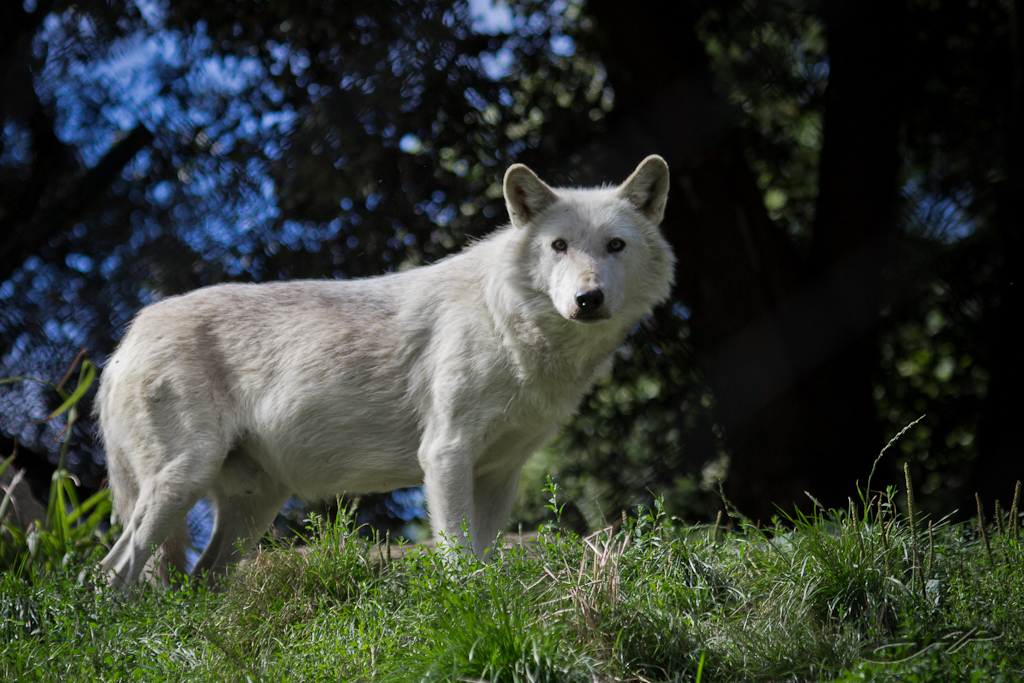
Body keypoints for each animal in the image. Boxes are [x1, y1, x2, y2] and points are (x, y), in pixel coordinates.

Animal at [98, 155, 675, 587]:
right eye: (558, 246)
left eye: (615, 246)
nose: (588, 299)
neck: (508, 325)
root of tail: (127, 339)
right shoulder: (445, 453)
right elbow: (459, 556)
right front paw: (470, 606)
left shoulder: (499, 472)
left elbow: (485, 554)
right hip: (182, 482)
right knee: (113, 570)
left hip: (250, 510)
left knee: (199, 578)